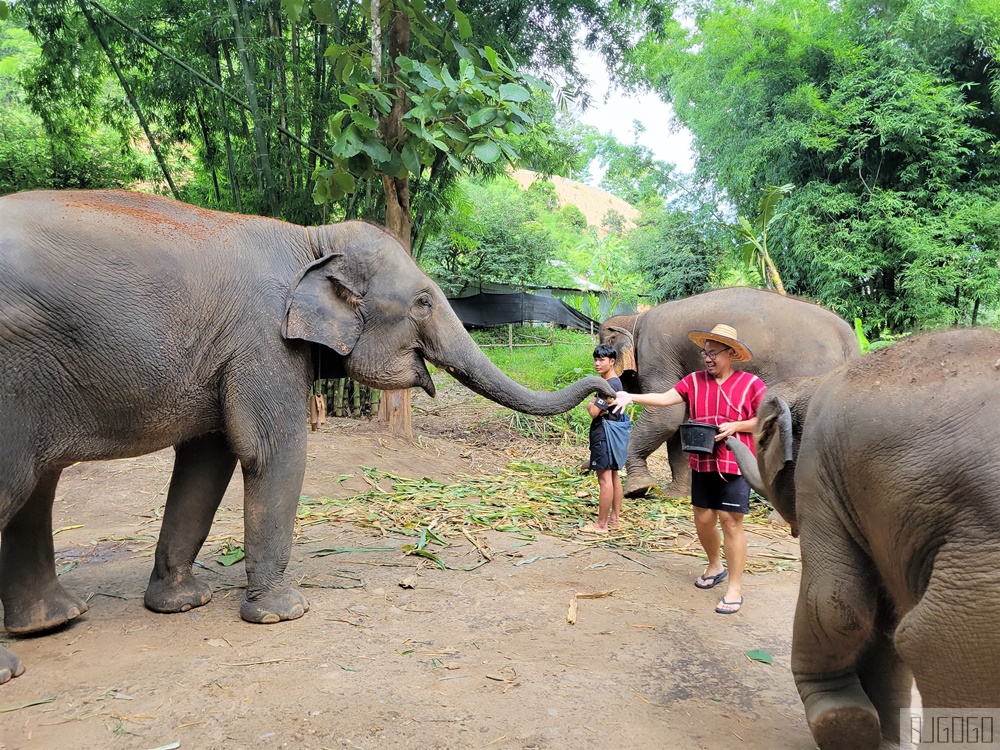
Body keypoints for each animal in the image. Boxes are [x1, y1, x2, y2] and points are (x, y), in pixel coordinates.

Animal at [0, 189, 614, 684]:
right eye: (422, 301)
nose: (608, 391)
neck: (312, 239)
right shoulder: (262, 341)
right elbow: (271, 451)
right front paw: (281, 614)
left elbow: (208, 459)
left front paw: (180, 605)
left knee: (37, 488)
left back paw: (53, 621)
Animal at [600, 287, 859, 497]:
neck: (636, 319)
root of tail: (849, 338)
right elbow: (681, 419)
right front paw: (677, 495)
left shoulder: (655, 354)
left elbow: (666, 415)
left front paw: (638, 488)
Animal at [727, 328, 1000, 750]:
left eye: (758, 441)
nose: (720, 436)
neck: (813, 382)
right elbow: (882, 617)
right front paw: (884, 737)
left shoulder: (818, 474)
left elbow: (834, 601)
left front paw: (842, 723)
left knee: (930, 640)